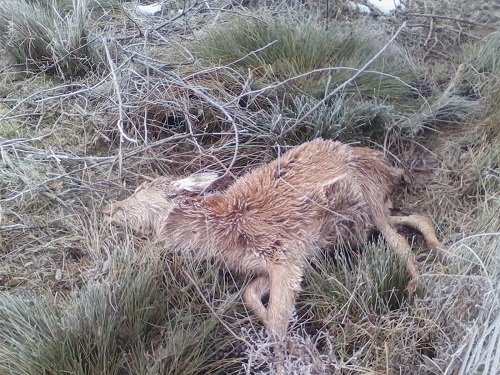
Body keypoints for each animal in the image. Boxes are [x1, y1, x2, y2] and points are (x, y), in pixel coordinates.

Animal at [101, 140, 446, 340]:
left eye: (139, 190)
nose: (108, 210)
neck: (224, 226)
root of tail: (392, 167)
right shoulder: (273, 265)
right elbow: (251, 296)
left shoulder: (284, 256)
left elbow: (278, 320)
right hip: (365, 220)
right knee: (415, 218)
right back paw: (440, 250)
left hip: (368, 194)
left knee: (399, 242)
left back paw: (417, 285)